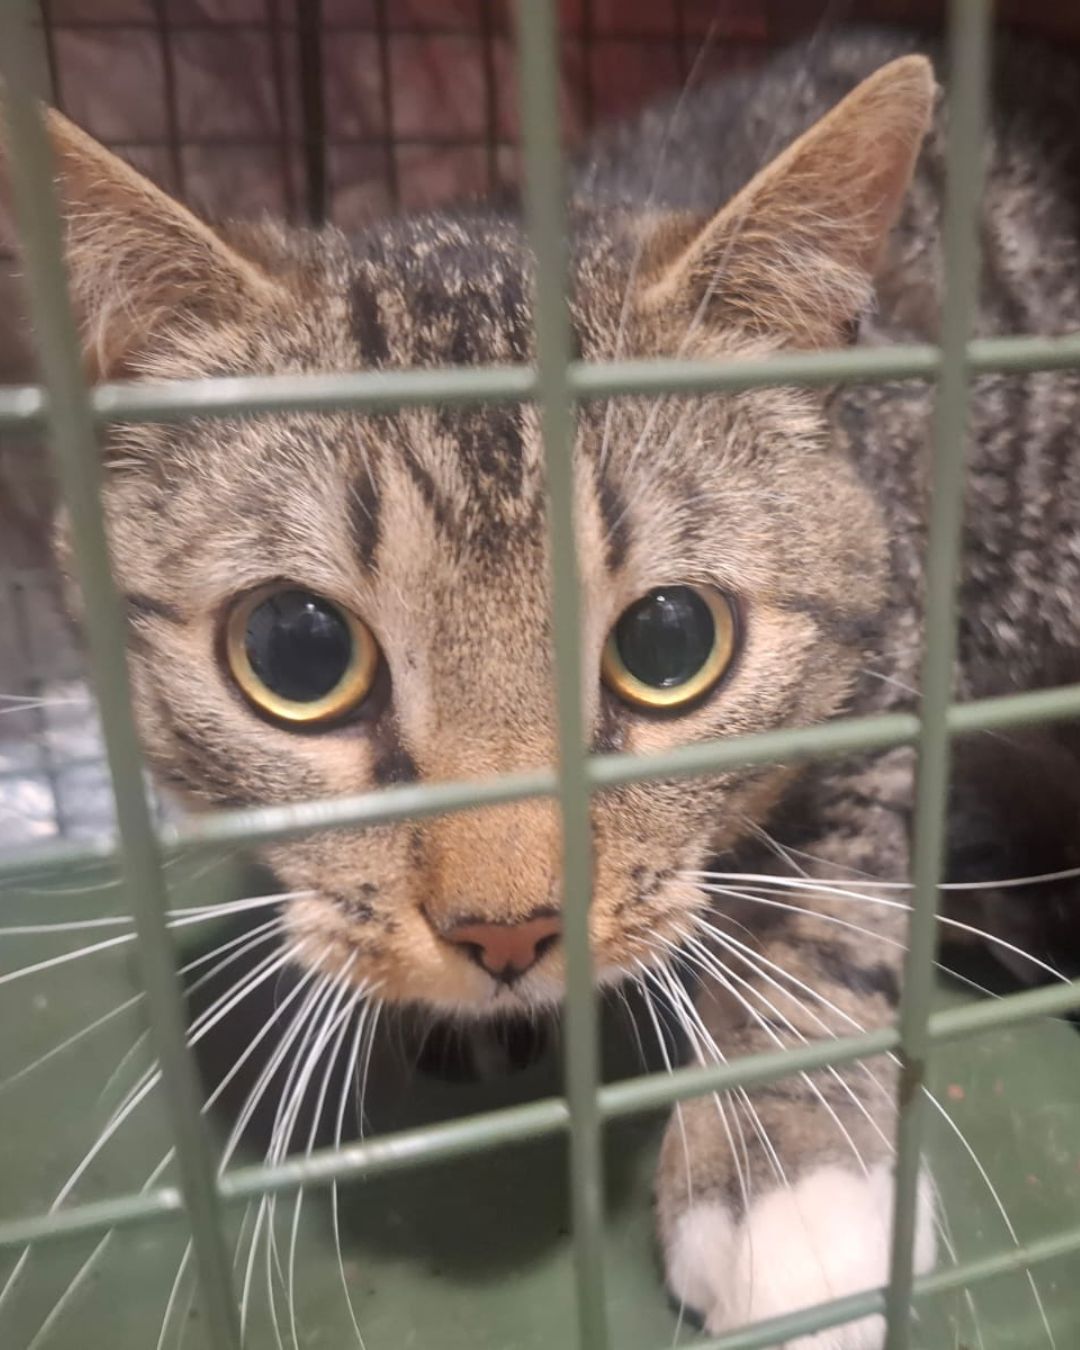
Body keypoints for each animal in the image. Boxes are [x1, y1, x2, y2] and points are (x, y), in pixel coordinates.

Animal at [4, 20, 1080, 1349]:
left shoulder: (891, 660)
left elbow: (819, 909)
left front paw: (791, 1175)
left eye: (670, 641)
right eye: (297, 653)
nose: (507, 929)